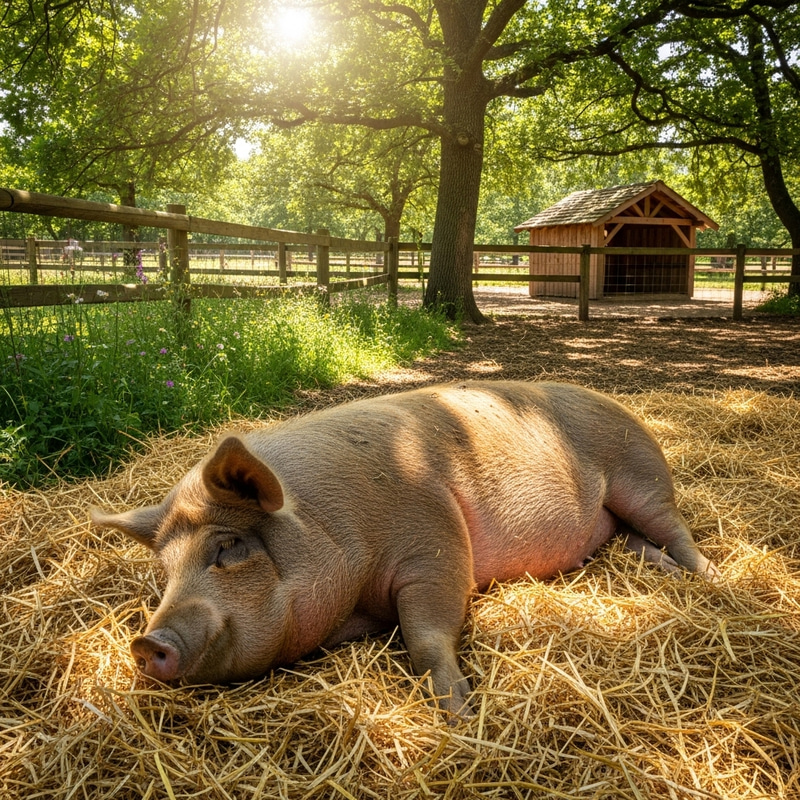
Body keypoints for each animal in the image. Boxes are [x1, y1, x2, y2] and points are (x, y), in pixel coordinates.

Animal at [91, 380, 718, 717]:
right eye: (165, 571)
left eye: (229, 549)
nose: (146, 643)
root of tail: (614, 400)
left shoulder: (436, 544)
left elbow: (426, 635)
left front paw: (459, 711)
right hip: (614, 520)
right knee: (632, 542)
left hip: (641, 476)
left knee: (675, 530)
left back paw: (710, 578)